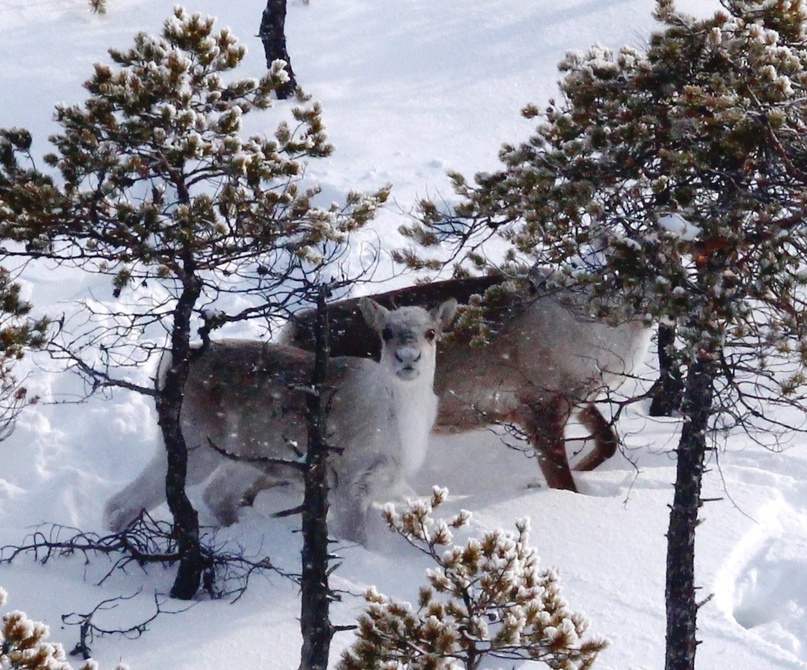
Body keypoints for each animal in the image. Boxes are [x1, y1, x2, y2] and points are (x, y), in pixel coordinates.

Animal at [104, 300, 458, 544]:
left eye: (431, 333)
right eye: (386, 333)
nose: (408, 358)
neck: (398, 413)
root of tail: (168, 363)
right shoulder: (350, 480)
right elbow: (356, 538)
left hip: (244, 458)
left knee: (215, 496)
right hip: (194, 449)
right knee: (120, 503)